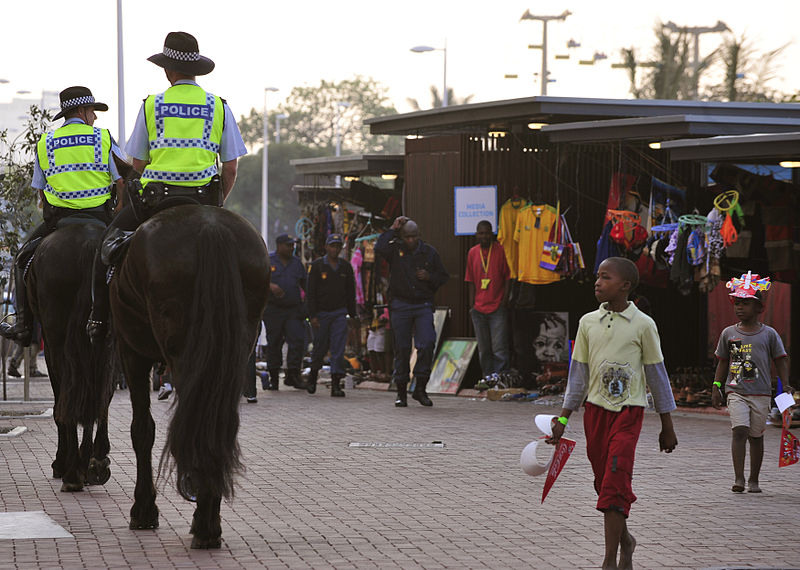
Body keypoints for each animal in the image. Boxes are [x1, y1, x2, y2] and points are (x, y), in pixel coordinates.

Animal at [26, 220, 116, 490]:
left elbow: (61, 403)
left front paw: (62, 462)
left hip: (55, 340)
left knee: (69, 394)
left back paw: (73, 471)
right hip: (108, 341)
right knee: (101, 391)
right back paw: (95, 461)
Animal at [109, 197, 272, 544]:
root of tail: (211, 230)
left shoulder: (131, 352)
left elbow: (142, 429)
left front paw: (143, 508)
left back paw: (203, 518)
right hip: (233, 348)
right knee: (217, 421)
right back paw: (209, 517)